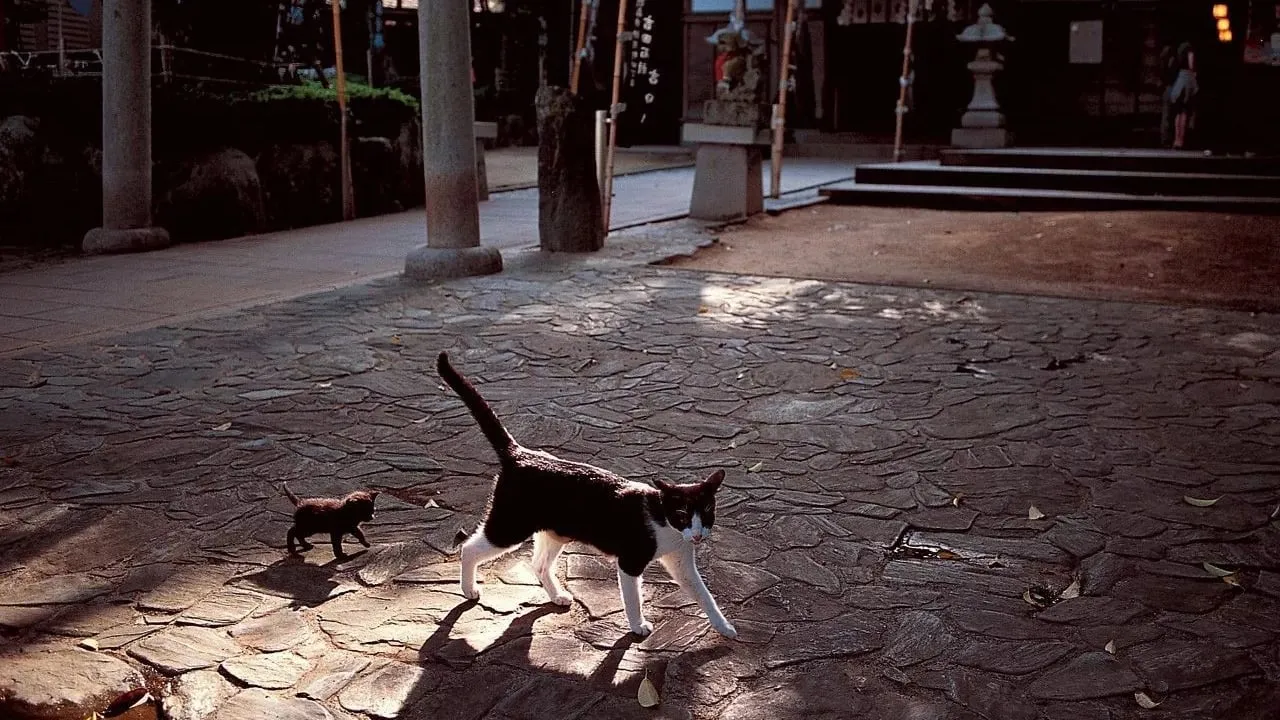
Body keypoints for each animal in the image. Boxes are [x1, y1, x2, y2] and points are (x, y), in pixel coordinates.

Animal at [437, 351, 737, 635]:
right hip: (509, 527)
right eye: (682, 514)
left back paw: (557, 596)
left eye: (706, 512)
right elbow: (633, 599)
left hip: (554, 532)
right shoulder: (630, 562)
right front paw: (637, 626)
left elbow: (705, 595)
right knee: (469, 547)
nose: (698, 535)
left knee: (539, 565)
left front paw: (724, 627)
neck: (666, 526)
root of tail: (519, 454)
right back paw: (468, 589)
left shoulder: (682, 564)